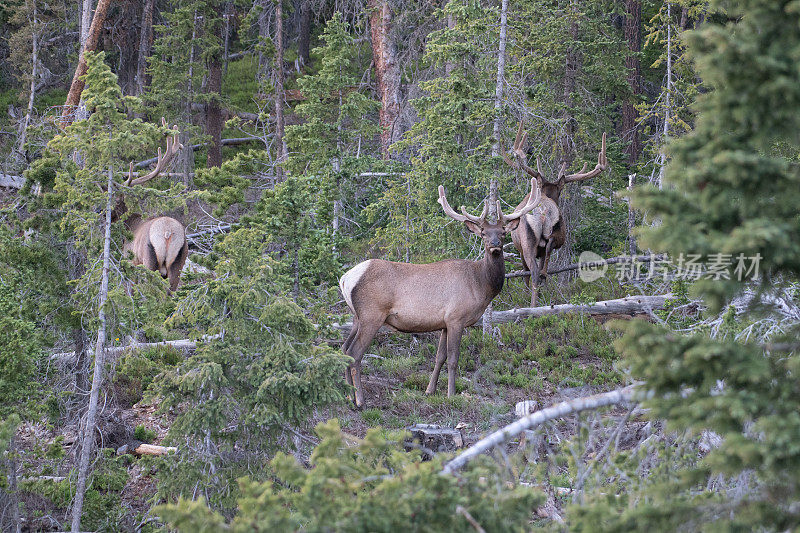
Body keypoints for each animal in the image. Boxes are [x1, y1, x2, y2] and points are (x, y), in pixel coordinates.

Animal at [111, 119, 188, 294]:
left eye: (115, 200)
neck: (129, 226)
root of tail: (167, 232)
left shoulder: (131, 261)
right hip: (178, 263)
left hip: (149, 261)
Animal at [340, 177, 544, 406]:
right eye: (483, 233)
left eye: (503, 232)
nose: (495, 245)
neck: (480, 284)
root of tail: (346, 278)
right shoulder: (456, 317)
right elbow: (453, 359)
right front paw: (451, 393)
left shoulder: (444, 322)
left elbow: (440, 357)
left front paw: (430, 390)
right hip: (371, 314)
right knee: (355, 353)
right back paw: (360, 400)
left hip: (356, 317)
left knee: (344, 350)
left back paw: (348, 395)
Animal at [504, 120, 608, 304]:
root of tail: (543, 212)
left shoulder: (520, 249)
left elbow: (524, 275)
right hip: (557, 233)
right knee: (548, 250)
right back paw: (545, 275)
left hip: (527, 242)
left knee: (533, 272)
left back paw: (532, 303)